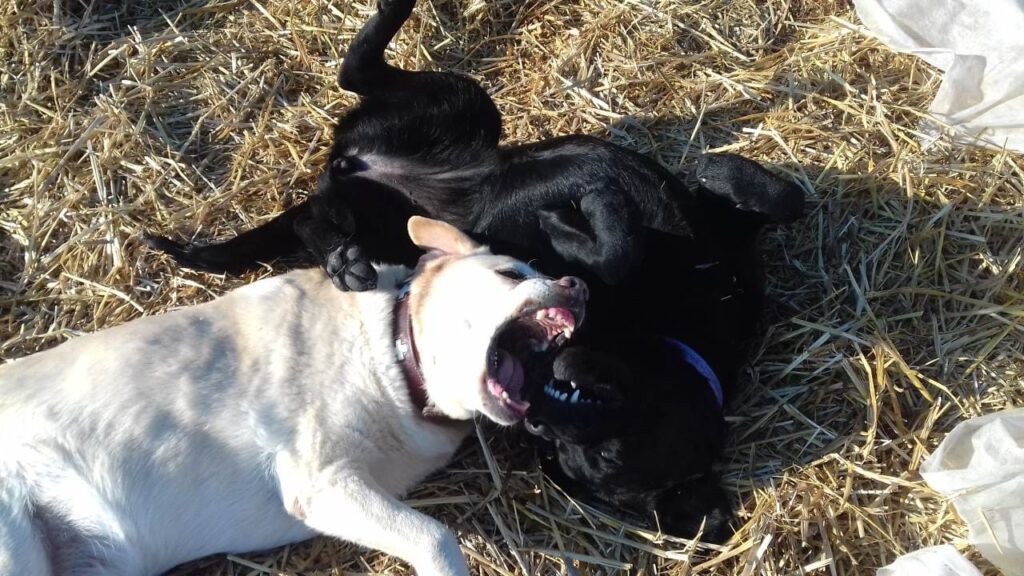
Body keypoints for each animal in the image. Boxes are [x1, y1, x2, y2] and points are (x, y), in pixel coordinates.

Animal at [146, 0, 798, 541]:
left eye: (592, 458)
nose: (536, 414)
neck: (670, 329)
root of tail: (354, 169)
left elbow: (620, 248)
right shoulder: (724, 234)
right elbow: (769, 193)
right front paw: (652, 189)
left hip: (383, 193)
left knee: (316, 214)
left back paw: (339, 257)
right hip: (466, 105)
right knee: (356, 81)